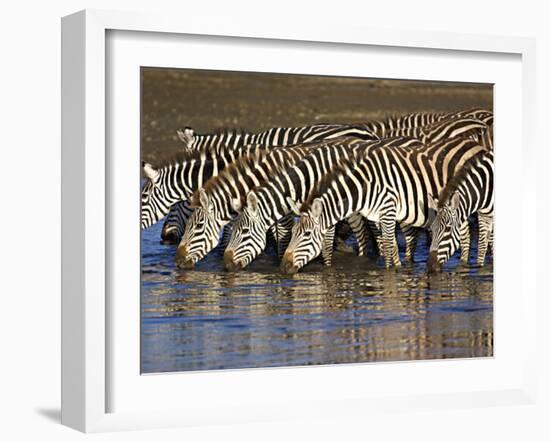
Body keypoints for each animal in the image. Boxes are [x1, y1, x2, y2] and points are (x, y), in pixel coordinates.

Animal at [282, 136, 490, 272]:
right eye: (293, 232)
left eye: (307, 234)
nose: (283, 267)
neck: (364, 188)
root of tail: (473, 143)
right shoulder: (378, 215)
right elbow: (388, 245)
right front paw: (394, 268)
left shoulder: (388, 210)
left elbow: (390, 245)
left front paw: (391, 274)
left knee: (469, 234)